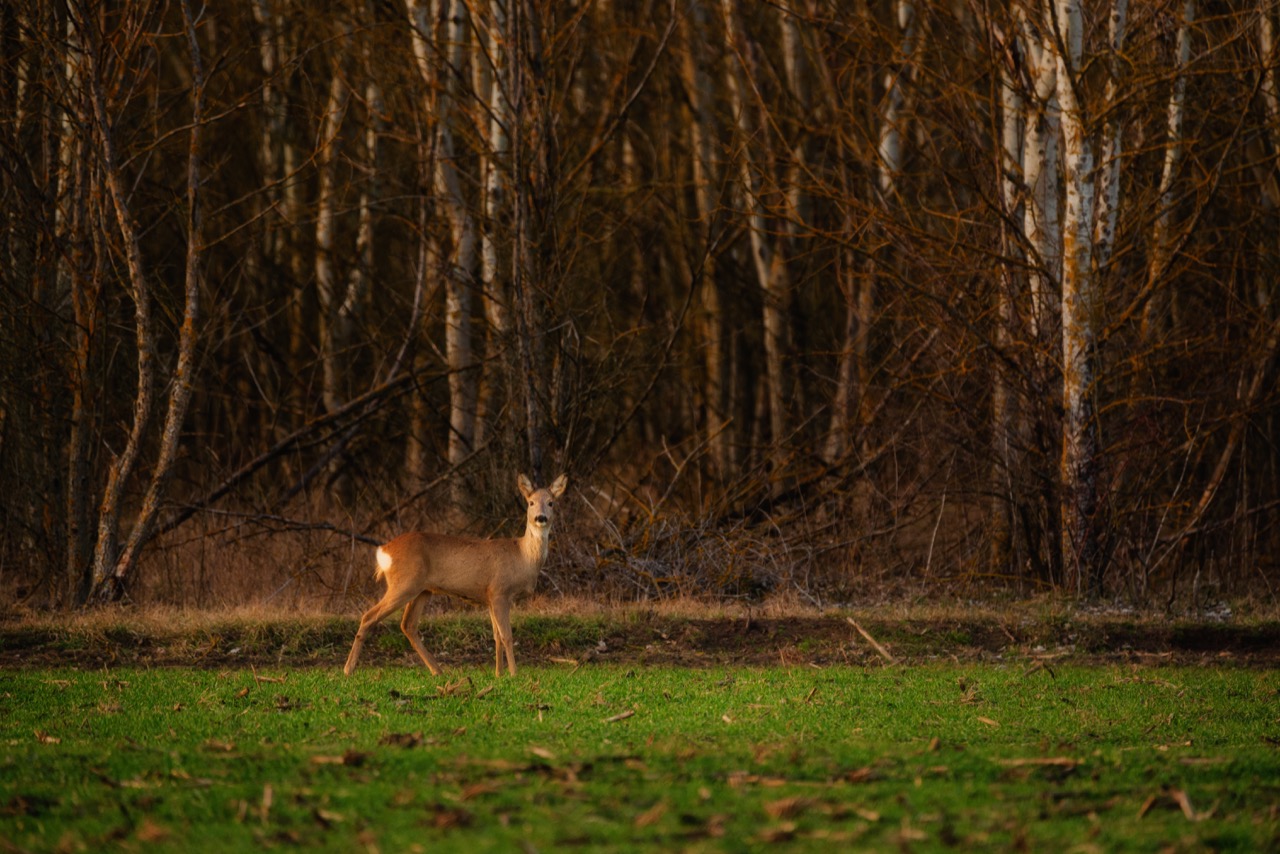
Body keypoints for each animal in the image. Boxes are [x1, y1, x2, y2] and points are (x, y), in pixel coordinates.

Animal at [344, 473, 568, 678]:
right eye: (531, 502)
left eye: (551, 503)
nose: (541, 518)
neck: (523, 556)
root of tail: (384, 551)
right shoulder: (500, 592)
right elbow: (506, 635)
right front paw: (514, 674)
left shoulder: (489, 597)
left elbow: (496, 636)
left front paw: (498, 674)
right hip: (404, 584)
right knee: (369, 616)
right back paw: (348, 669)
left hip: (422, 590)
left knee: (408, 625)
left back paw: (438, 670)